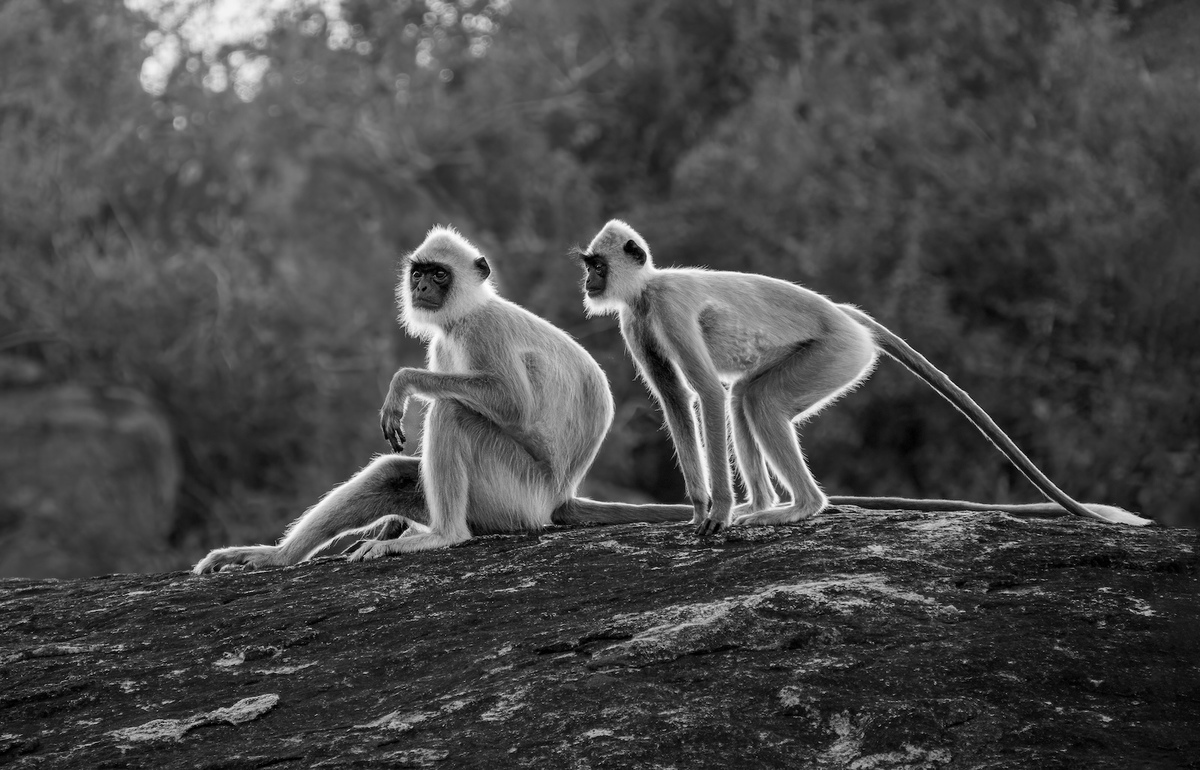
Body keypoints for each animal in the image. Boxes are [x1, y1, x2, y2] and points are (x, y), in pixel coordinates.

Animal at [192, 225, 691, 573]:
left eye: (439, 274)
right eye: (418, 273)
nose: (422, 288)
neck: (463, 315)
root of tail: (558, 497)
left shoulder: (484, 330)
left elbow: (511, 404)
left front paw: (401, 385)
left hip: (515, 494)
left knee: (453, 411)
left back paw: (443, 536)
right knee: (393, 472)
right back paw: (277, 557)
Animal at [571, 217, 1152, 532]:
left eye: (596, 265)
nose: (588, 283)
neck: (646, 289)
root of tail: (847, 315)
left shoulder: (665, 306)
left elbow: (706, 393)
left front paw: (718, 512)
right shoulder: (635, 318)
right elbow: (674, 398)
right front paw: (698, 511)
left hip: (839, 354)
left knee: (753, 401)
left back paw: (799, 508)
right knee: (747, 399)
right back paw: (767, 505)